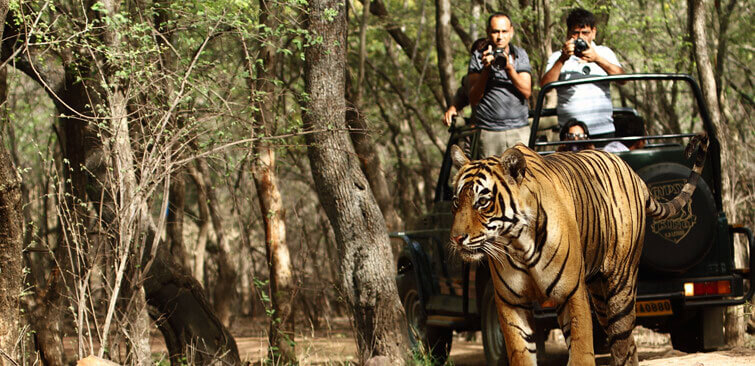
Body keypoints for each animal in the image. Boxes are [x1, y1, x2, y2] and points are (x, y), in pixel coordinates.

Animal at [448, 134, 708, 366]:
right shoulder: (511, 302)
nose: (457, 238)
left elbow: (581, 351)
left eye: (482, 202)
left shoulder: (571, 292)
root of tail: (633, 173)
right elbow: (521, 353)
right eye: (456, 202)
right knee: (629, 344)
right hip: (599, 295)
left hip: (620, 284)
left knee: (622, 342)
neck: (518, 244)